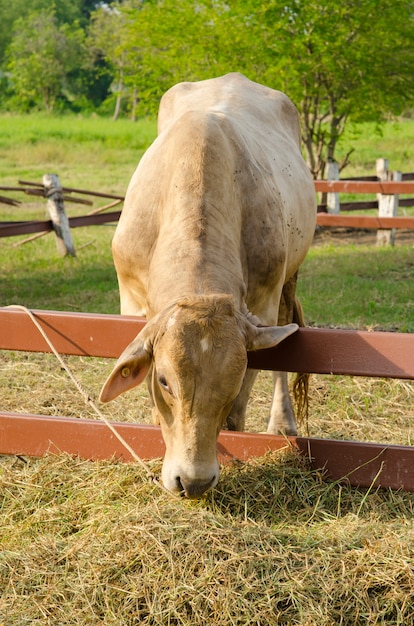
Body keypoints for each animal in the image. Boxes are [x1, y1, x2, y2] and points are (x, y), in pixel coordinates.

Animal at [101, 73, 316, 494]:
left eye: (231, 383)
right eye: (164, 381)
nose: (192, 481)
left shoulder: (264, 305)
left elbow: (240, 408)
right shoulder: (130, 297)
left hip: (290, 279)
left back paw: (282, 421)